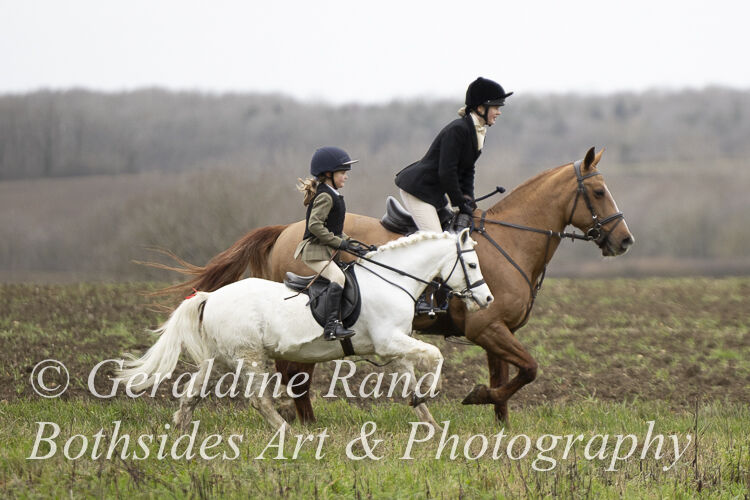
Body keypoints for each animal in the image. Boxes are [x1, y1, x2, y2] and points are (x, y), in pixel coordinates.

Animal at [120, 229, 493, 431]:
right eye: (472, 263)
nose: (487, 299)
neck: (392, 279)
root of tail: (212, 297)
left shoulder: (395, 347)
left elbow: (411, 383)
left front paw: (431, 423)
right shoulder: (389, 342)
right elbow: (436, 354)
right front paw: (434, 390)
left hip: (217, 359)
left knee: (192, 394)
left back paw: (181, 431)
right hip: (249, 356)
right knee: (258, 399)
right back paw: (289, 432)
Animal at [155, 147, 634, 424]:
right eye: (598, 191)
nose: (624, 241)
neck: (510, 239)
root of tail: (286, 229)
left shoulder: (498, 331)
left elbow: (509, 377)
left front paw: (499, 425)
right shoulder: (486, 328)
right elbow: (529, 369)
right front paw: (476, 398)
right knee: (295, 373)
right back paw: (305, 425)